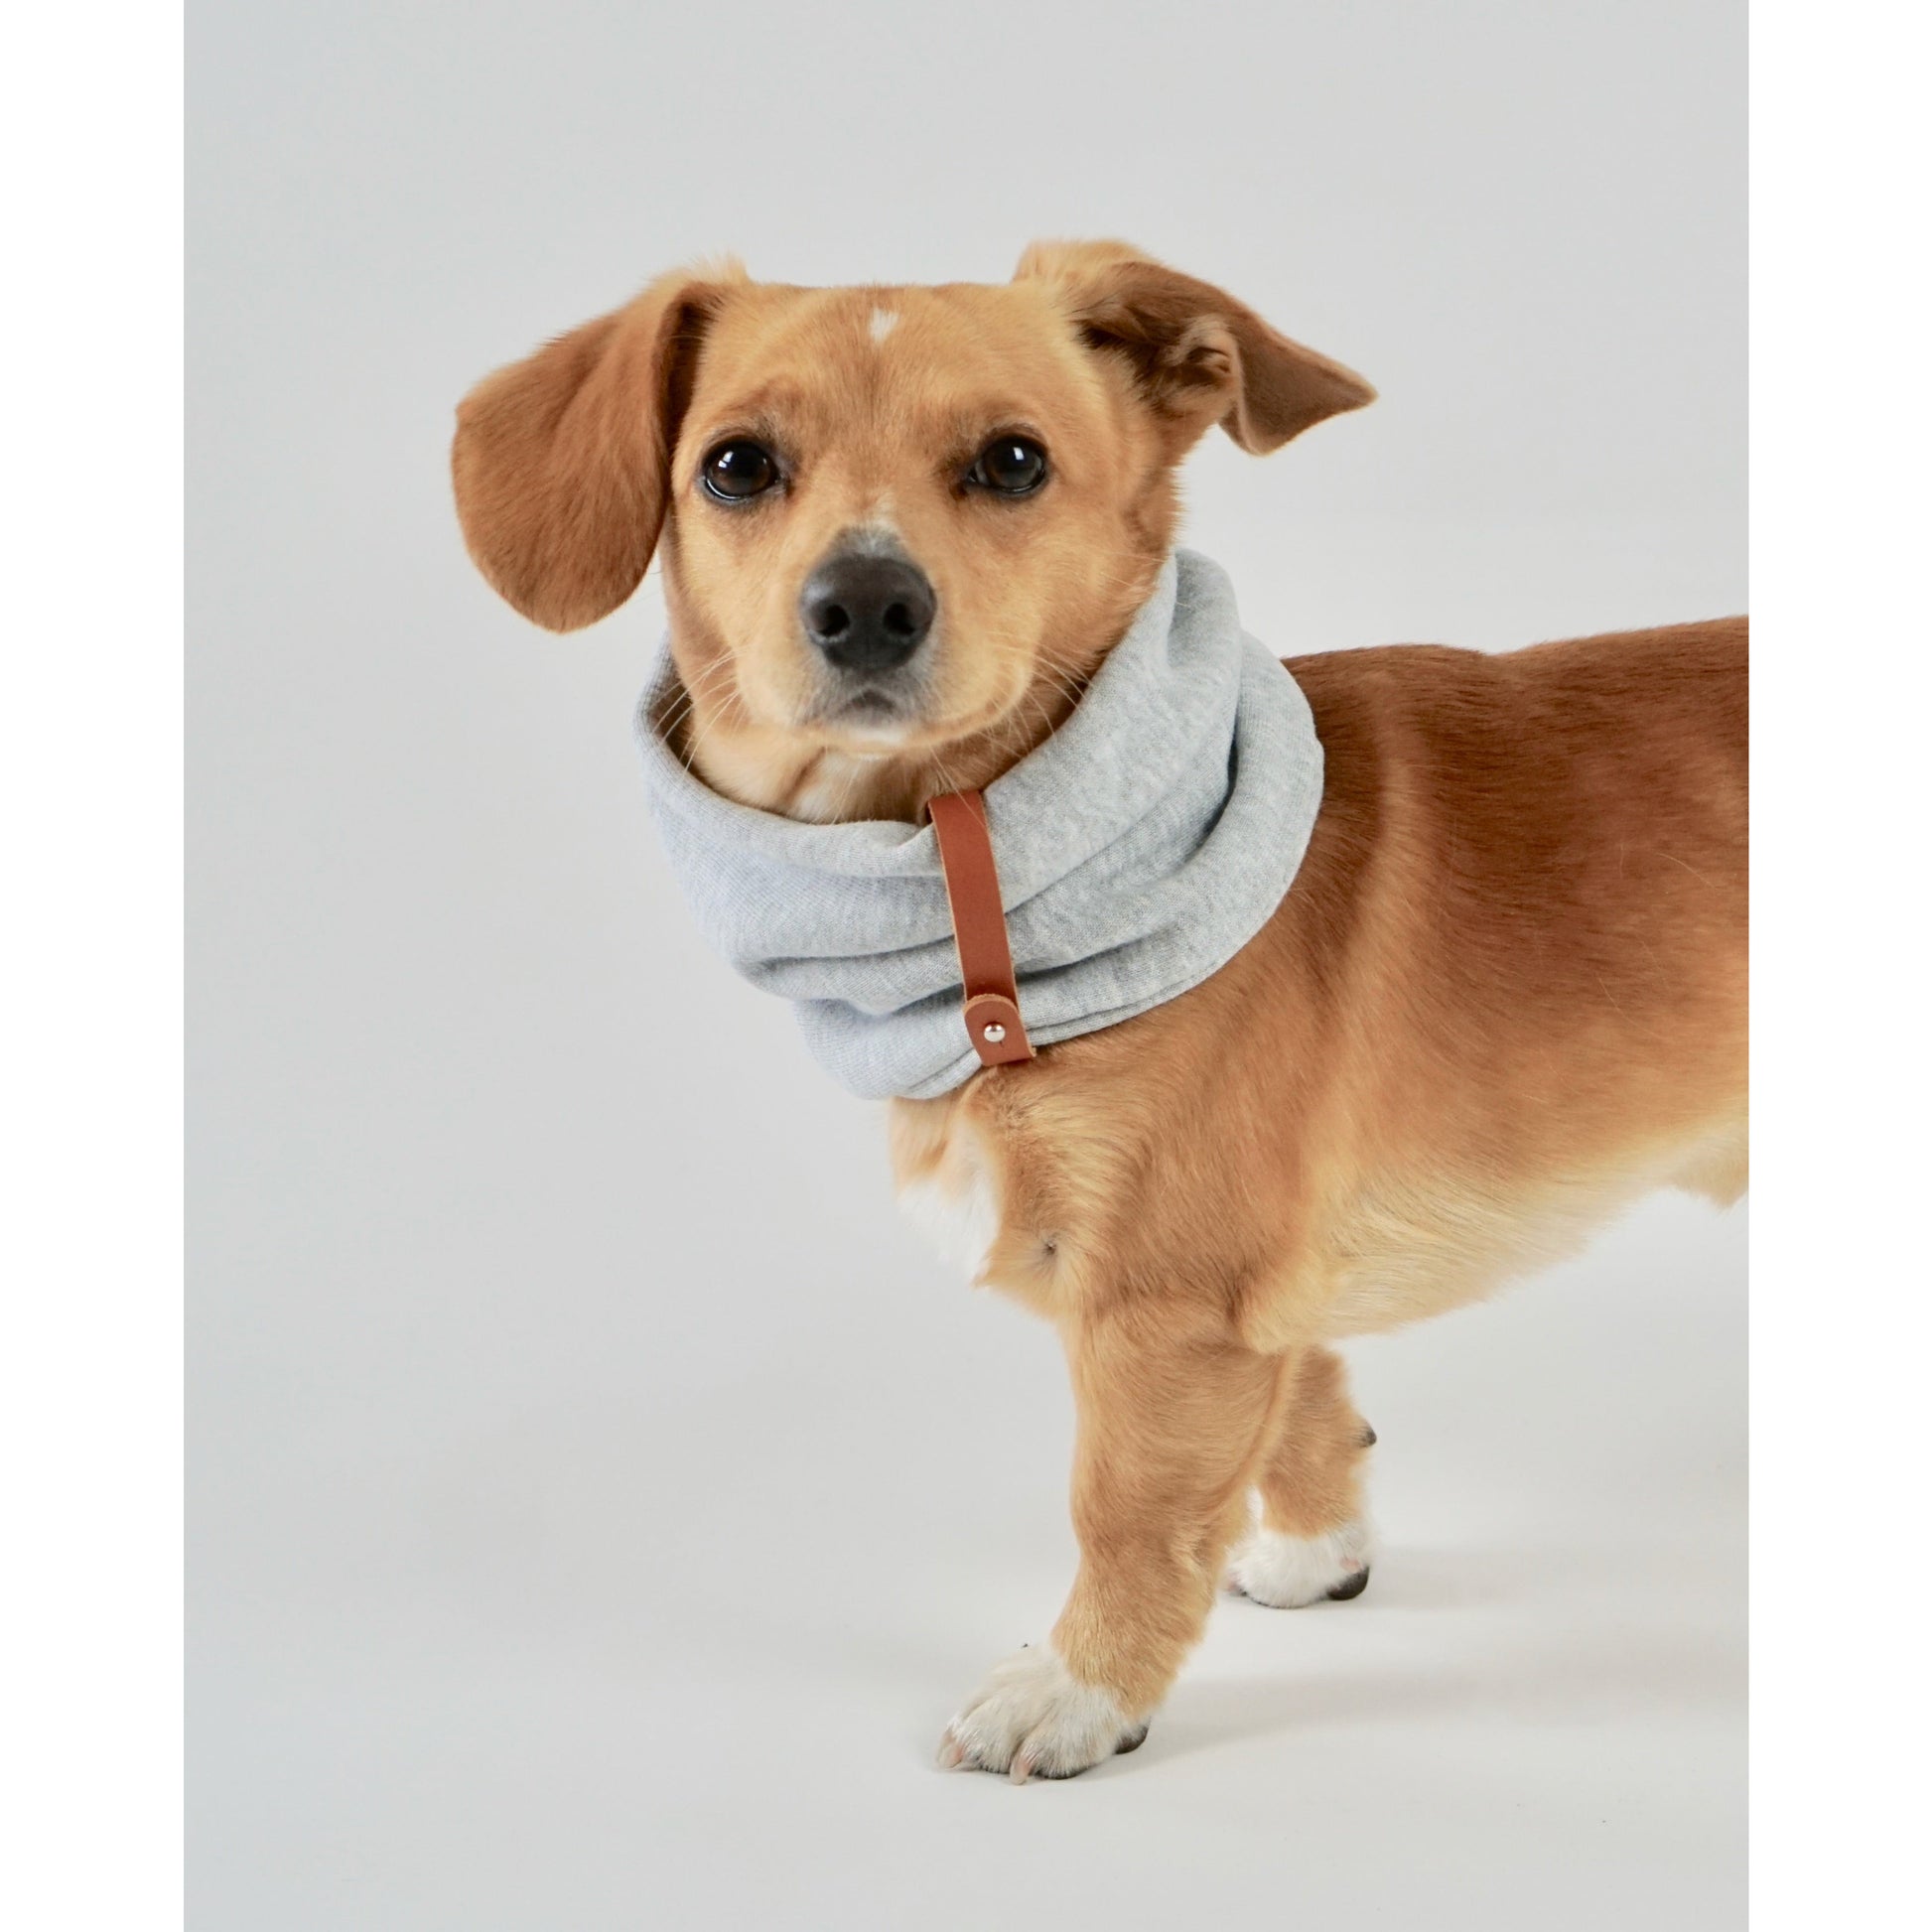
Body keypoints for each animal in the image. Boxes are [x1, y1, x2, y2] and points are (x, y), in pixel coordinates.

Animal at [451, 241, 1746, 1782]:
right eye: (735, 466)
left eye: (1012, 460)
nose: (865, 603)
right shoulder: (1244, 1293)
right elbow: (1301, 1391)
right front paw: (1317, 1543)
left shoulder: (1162, 1307)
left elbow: (1126, 1507)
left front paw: (1084, 1686)